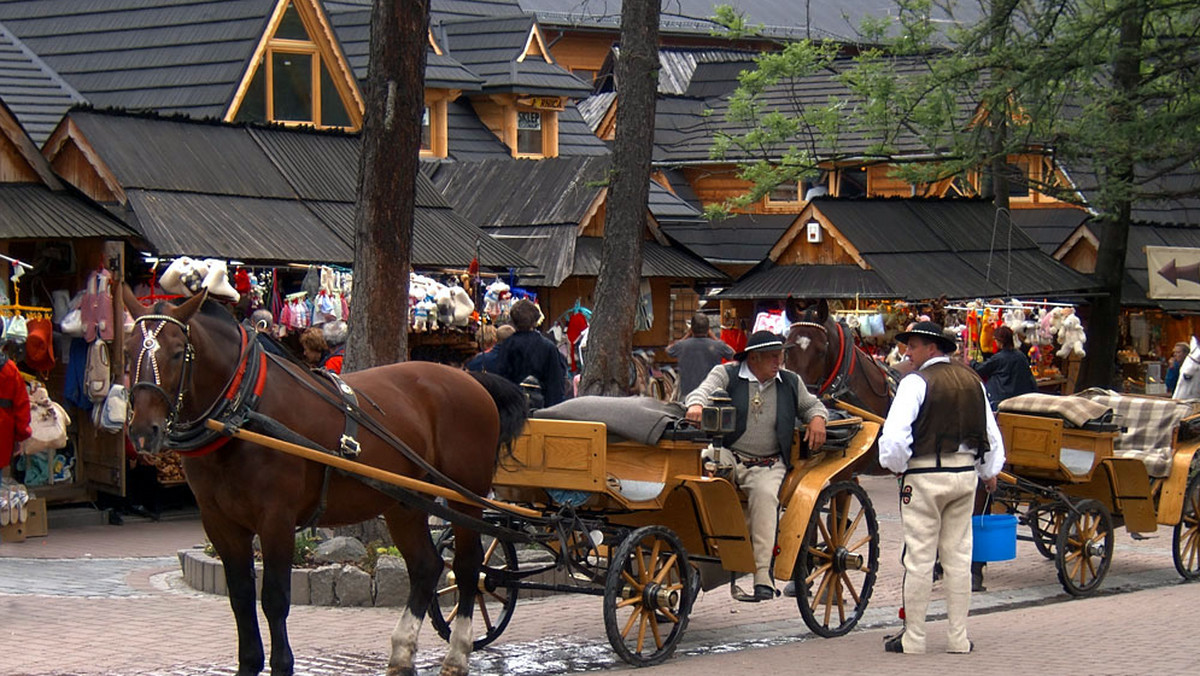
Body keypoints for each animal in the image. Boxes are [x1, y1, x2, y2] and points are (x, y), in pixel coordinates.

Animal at [120, 288, 525, 676]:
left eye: (177, 352)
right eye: (127, 349)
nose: (143, 431)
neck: (244, 411)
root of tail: (470, 378)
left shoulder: (277, 519)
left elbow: (274, 598)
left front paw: (282, 665)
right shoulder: (220, 523)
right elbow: (240, 598)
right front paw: (249, 663)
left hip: (463, 496)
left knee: (468, 566)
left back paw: (457, 654)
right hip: (405, 501)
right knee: (427, 566)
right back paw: (401, 651)